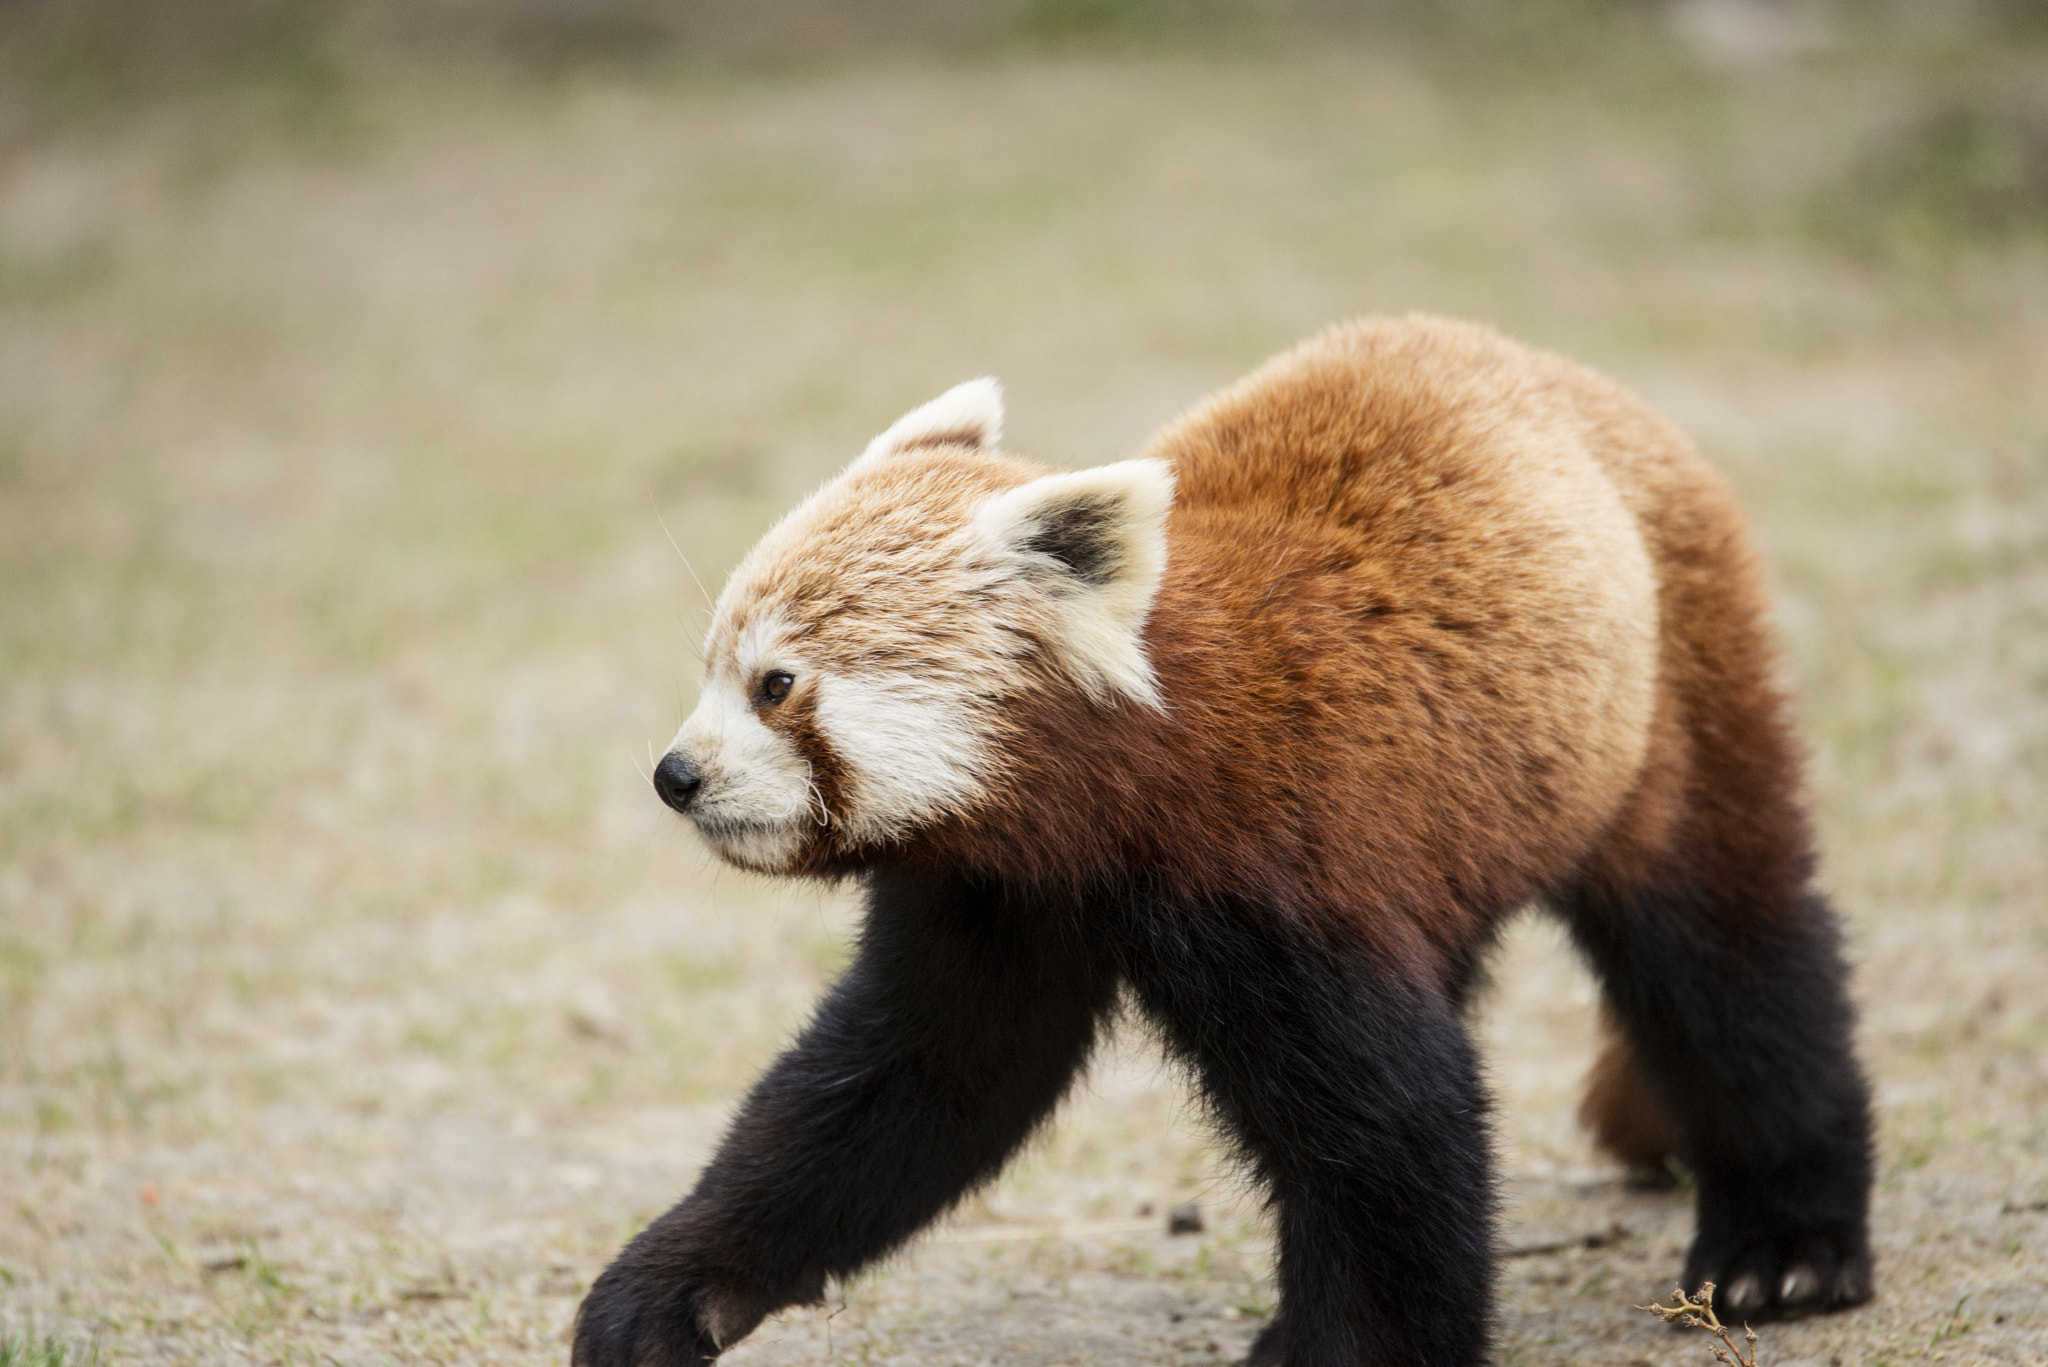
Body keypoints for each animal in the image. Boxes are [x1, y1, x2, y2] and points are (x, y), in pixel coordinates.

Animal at [573, 315, 1874, 1367]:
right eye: (713, 671)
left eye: (775, 683)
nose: (675, 775)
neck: (1106, 797)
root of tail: (1574, 382)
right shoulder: (998, 893)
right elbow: (911, 1088)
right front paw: (667, 1288)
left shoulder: (1277, 862)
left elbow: (1390, 1124)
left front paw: (1346, 1347)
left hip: (1668, 691)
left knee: (1724, 951)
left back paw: (1784, 1242)